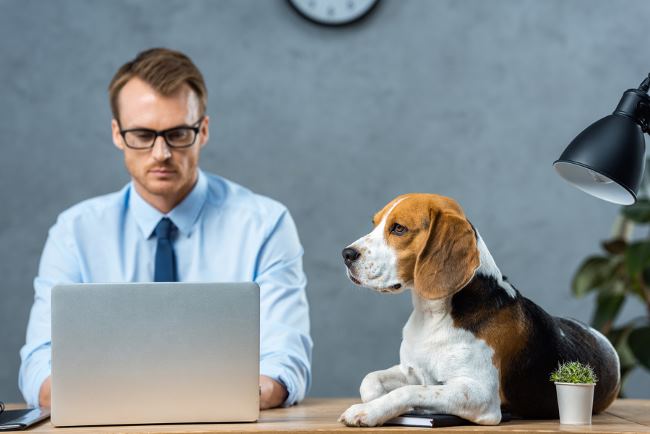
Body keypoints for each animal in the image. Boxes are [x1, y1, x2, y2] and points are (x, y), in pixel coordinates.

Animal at [340, 194, 616, 428]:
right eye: (375, 223)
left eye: (398, 228)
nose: (346, 254)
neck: (434, 314)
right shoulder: (413, 371)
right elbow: (370, 380)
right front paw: (373, 400)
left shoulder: (479, 394)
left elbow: (410, 391)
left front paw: (367, 411)